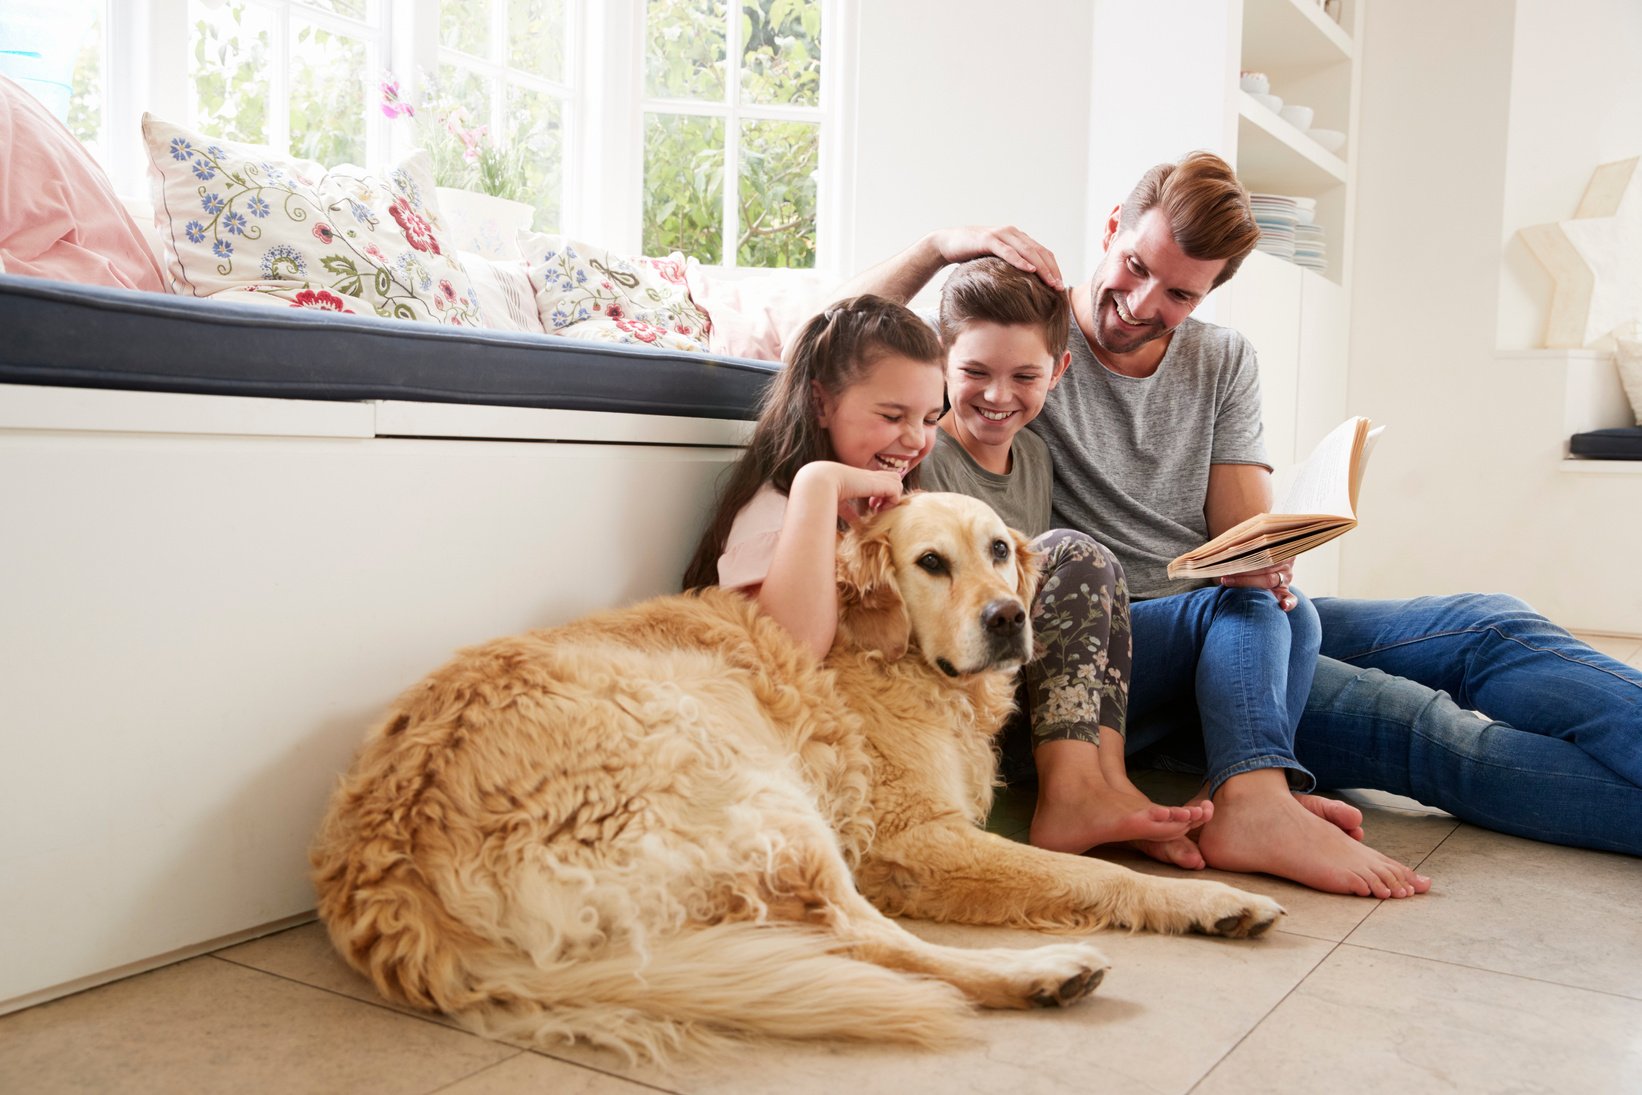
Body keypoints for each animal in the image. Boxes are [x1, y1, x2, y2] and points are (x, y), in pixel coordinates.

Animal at [308, 495, 1280, 1063]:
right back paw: (1044, 972)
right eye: (931, 563)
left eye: (1001, 549)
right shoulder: (912, 839)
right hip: (750, 784)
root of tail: (389, 879)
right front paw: (1209, 898)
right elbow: (1091, 869)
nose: (1010, 618)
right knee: (865, 940)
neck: (895, 656)